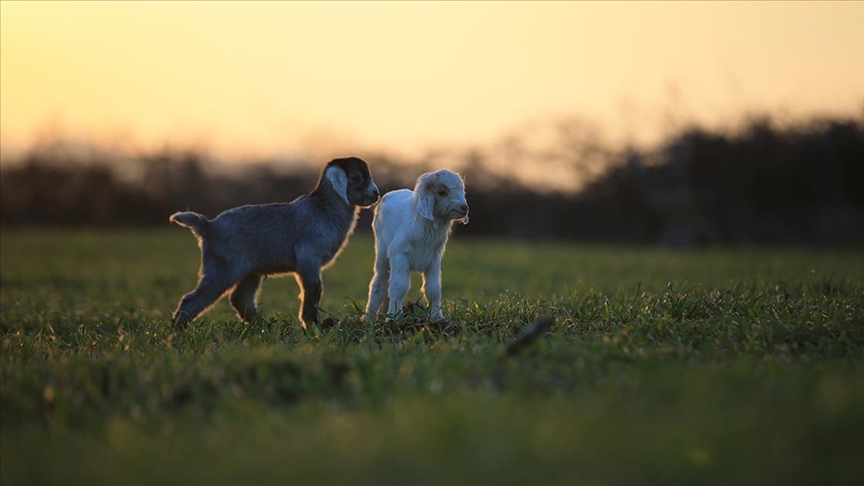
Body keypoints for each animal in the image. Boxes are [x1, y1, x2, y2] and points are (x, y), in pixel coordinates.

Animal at [170, 158, 380, 332]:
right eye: (356, 178)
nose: (376, 194)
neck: (324, 207)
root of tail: (208, 226)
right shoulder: (308, 257)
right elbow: (313, 289)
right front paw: (312, 324)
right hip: (222, 267)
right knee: (193, 299)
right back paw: (177, 332)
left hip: (250, 271)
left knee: (240, 299)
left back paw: (262, 325)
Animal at [364, 169, 472, 320]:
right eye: (442, 192)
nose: (464, 208)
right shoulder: (399, 253)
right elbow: (399, 286)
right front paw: (394, 316)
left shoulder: (434, 258)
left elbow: (433, 289)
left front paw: (437, 317)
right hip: (382, 253)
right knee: (379, 283)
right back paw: (369, 318)